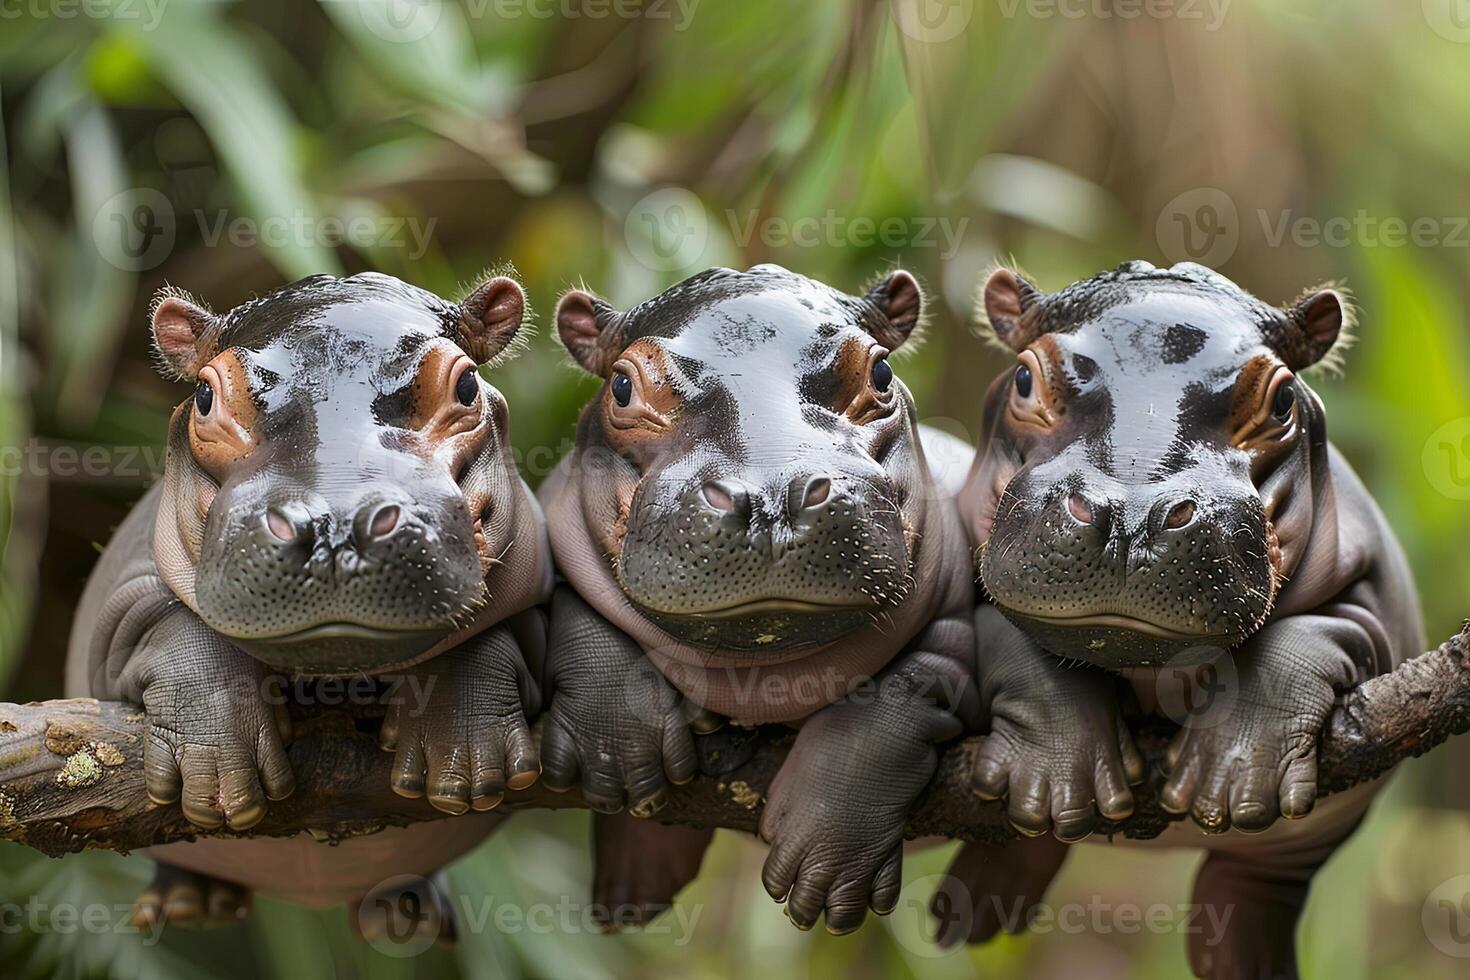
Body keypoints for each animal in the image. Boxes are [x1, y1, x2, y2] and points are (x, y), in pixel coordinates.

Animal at [63, 271, 552, 934]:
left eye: (468, 384)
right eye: (204, 397)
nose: (335, 525)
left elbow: (493, 635)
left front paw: (467, 763)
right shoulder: (122, 598)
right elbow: (170, 627)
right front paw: (219, 776)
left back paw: (405, 914)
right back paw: (190, 905)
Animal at [538, 264, 976, 934]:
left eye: (880, 373)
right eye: (621, 385)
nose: (771, 499)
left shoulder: (955, 634)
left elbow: (903, 690)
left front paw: (825, 866)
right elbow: (582, 622)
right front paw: (618, 758)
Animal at [946, 262, 1417, 980]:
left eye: (1284, 400)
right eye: (1024, 378)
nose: (1132, 516)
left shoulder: (1380, 597)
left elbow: (1314, 634)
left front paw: (1231, 776)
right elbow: (1011, 638)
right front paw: (1056, 779)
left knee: (1254, 886)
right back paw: (970, 916)